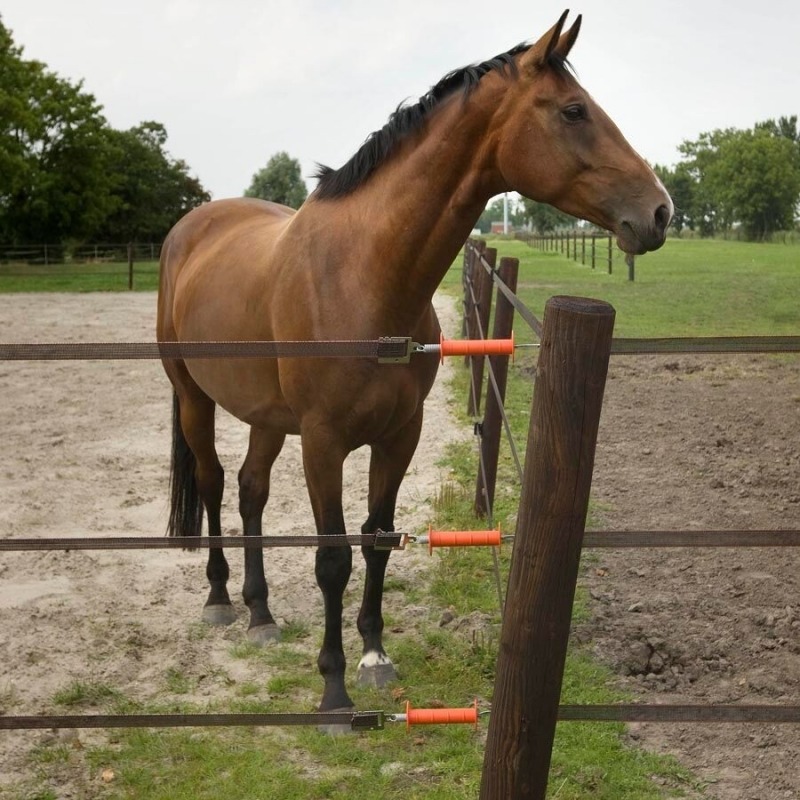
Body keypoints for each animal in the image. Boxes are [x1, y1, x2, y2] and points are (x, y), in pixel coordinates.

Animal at [156, 10, 668, 712]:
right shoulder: (323, 442)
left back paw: (261, 613)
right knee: (210, 482)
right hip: (193, 397)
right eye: (573, 111)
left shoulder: (400, 435)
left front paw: (374, 656)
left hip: (266, 416)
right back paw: (219, 598)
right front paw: (335, 691)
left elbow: (376, 541)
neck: (363, 278)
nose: (660, 211)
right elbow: (333, 559)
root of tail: (191, 227)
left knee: (250, 490)